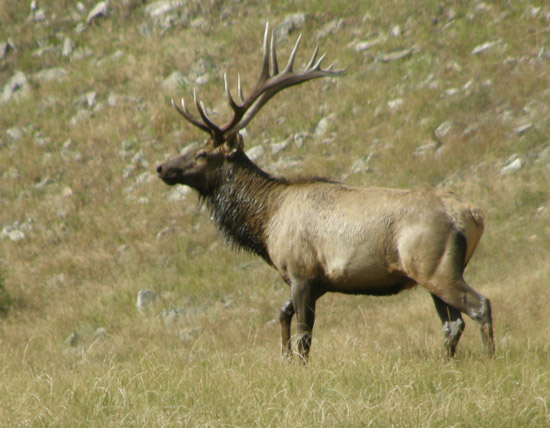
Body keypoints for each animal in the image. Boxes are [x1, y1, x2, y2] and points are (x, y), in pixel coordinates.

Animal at [157, 23, 498, 362]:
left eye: (202, 154)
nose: (162, 167)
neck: (266, 223)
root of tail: (473, 215)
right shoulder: (318, 281)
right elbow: (283, 315)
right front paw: (284, 358)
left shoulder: (301, 271)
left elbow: (304, 336)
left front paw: (298, 364)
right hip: (430, 273)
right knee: (452, 323)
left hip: (435, 265)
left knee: (479, 306)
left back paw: (490, 358)